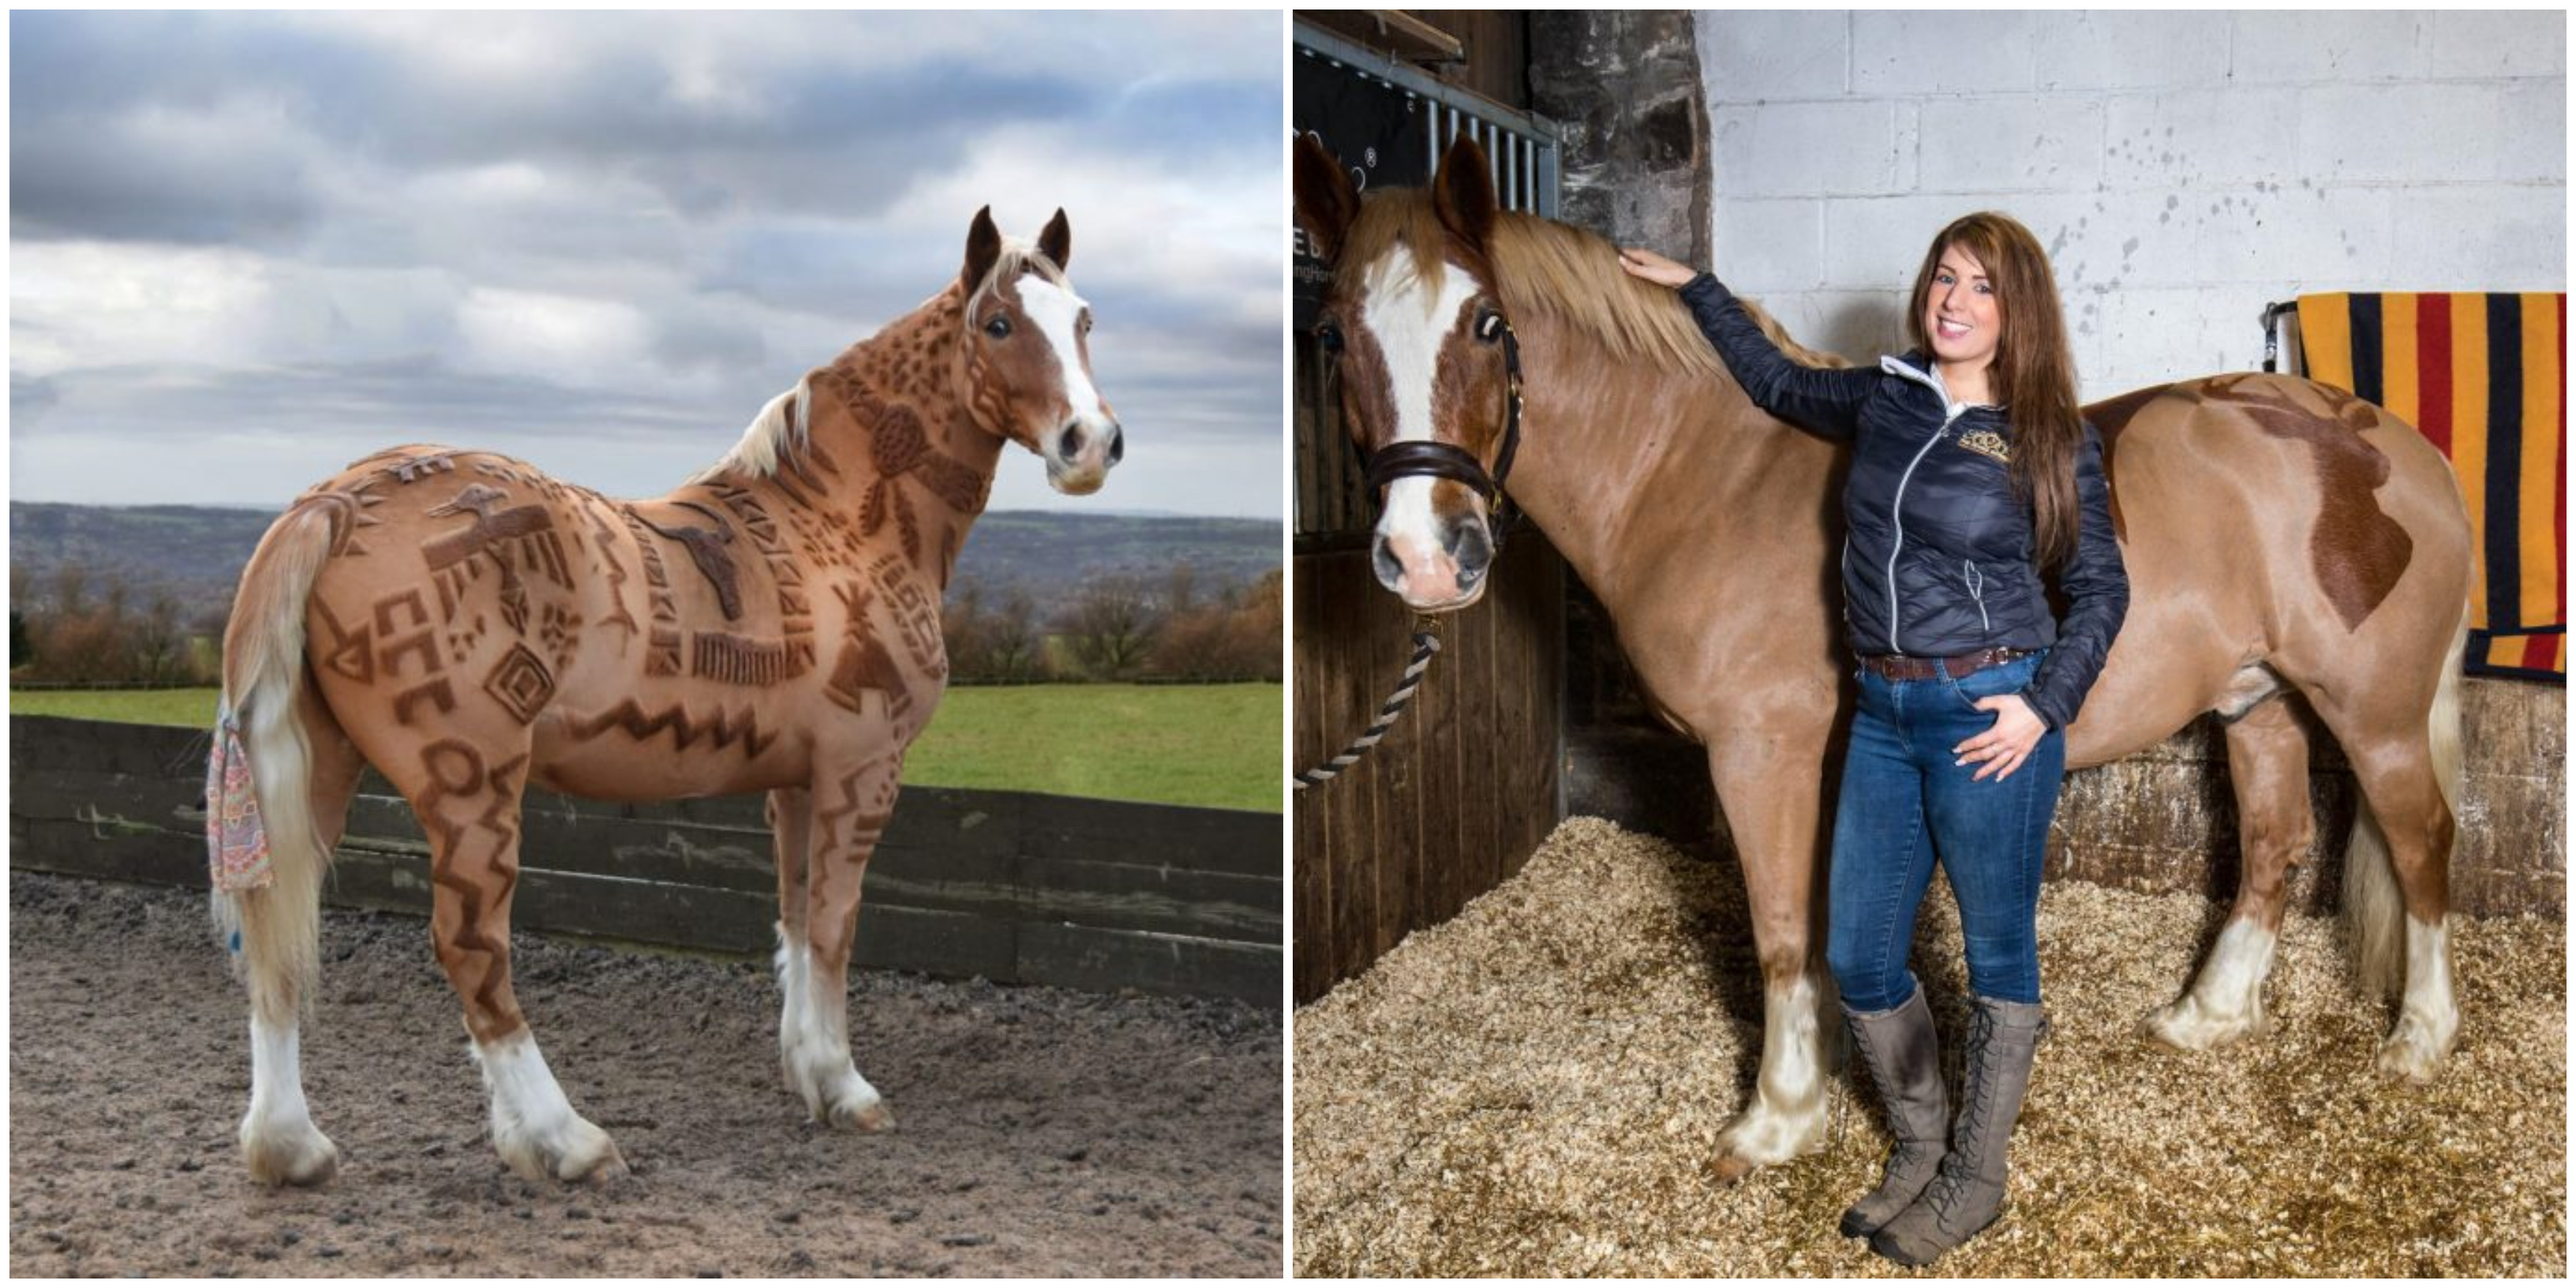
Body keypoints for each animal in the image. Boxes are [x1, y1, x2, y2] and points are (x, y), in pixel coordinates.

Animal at [212, 206, 1124, 1185]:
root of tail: (336, 504)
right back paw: (565, 1138)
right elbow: (836, 927)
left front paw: (810, 1074)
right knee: (472, 951)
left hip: (320, 775)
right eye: (998, 323)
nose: (1091, 443)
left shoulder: (795, 785)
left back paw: (292, 1145)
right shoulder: (861, 773)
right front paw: (848, 1089)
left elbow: (796, 921)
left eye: (1084, 319)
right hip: (473, 789)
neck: (836, 525)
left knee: (278, 941)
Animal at [1294, 133, 2472, 1181]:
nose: (1425, 557)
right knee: (2274, 843)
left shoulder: (1761, 754)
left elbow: (1780, 929)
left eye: (1488, 324)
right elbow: (1823, 928)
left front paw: (1777, 1120)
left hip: (2373, 717)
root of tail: (2400, 450)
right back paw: (2206, 1016)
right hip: (2257, 702)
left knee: (2421, 843)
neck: (1699, 476)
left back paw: (2419, 1041)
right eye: (1333, 336)